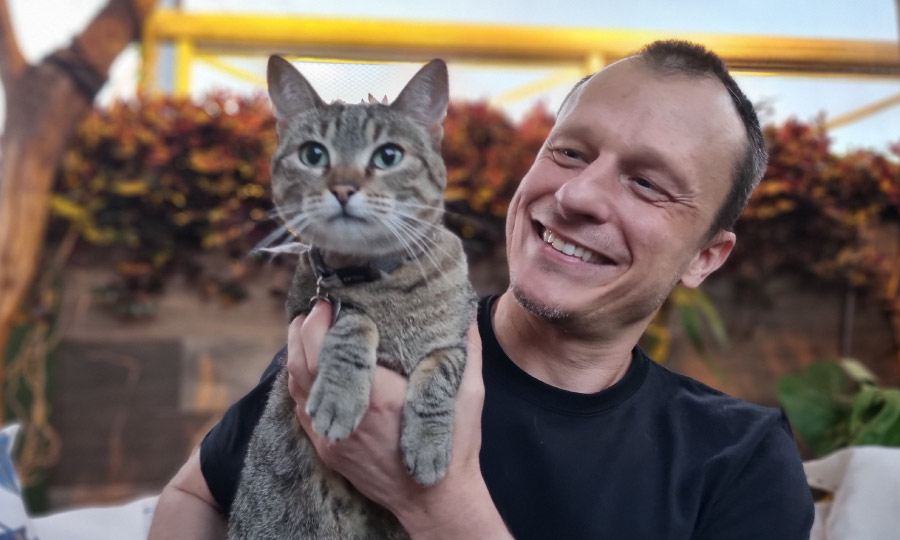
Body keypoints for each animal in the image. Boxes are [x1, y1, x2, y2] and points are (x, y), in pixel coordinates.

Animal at [225, 57, 478, 536]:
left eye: (388, 156)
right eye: (313, 154)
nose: (342, 188)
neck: (384, 280)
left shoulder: (457, 338)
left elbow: (438, 377)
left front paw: (429, 446)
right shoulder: (310, 308)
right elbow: (356, 320)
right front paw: (339, 395)